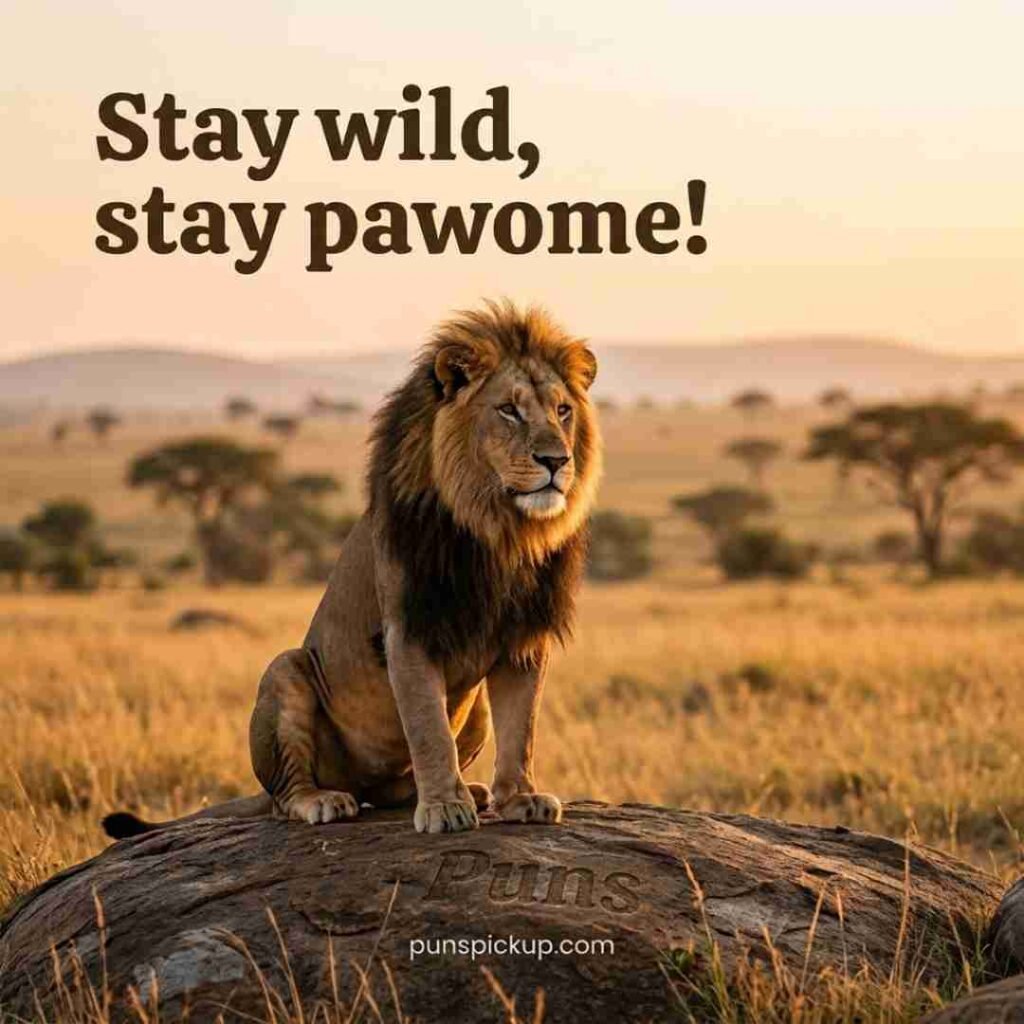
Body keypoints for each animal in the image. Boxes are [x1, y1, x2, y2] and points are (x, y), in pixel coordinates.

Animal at [103, 300, 601, 837]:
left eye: (563, 411)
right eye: (508, 410)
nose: (556, 460)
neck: (499, 532)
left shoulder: (524, 635)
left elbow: (521, 727)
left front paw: (520, 798)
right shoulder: (409, 629)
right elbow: (429, 730)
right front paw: (444, 807)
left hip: (474, 716)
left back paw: (470, 791)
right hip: (287, 672)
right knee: (285, 796)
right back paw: (325, 801)